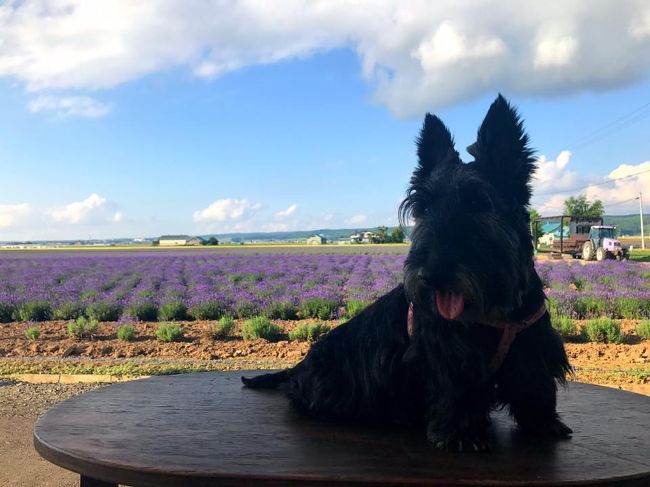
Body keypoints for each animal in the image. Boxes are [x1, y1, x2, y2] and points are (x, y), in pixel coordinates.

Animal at [242, 96, 568, 454]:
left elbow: (535, 386)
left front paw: (544, 424)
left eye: (479, 203)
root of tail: (298, 368)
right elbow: (455, 392)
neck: (494, 310)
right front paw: (460, 434)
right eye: (423, 207)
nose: (428, 276)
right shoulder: (448, 358)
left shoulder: (531, 345)